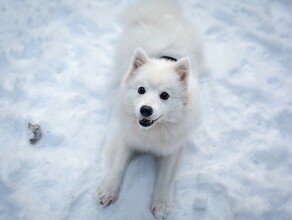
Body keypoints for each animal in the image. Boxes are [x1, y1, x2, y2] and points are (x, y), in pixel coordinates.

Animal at [98, 0, 203, 217]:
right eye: (141, 90)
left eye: (165, 95)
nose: (145, 110)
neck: (151, 134)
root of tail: (160, 13)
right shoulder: (127, 139)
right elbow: (118, 166)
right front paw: (108, 190)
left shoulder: (171, 149)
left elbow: (163, 178)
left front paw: (160, 204)